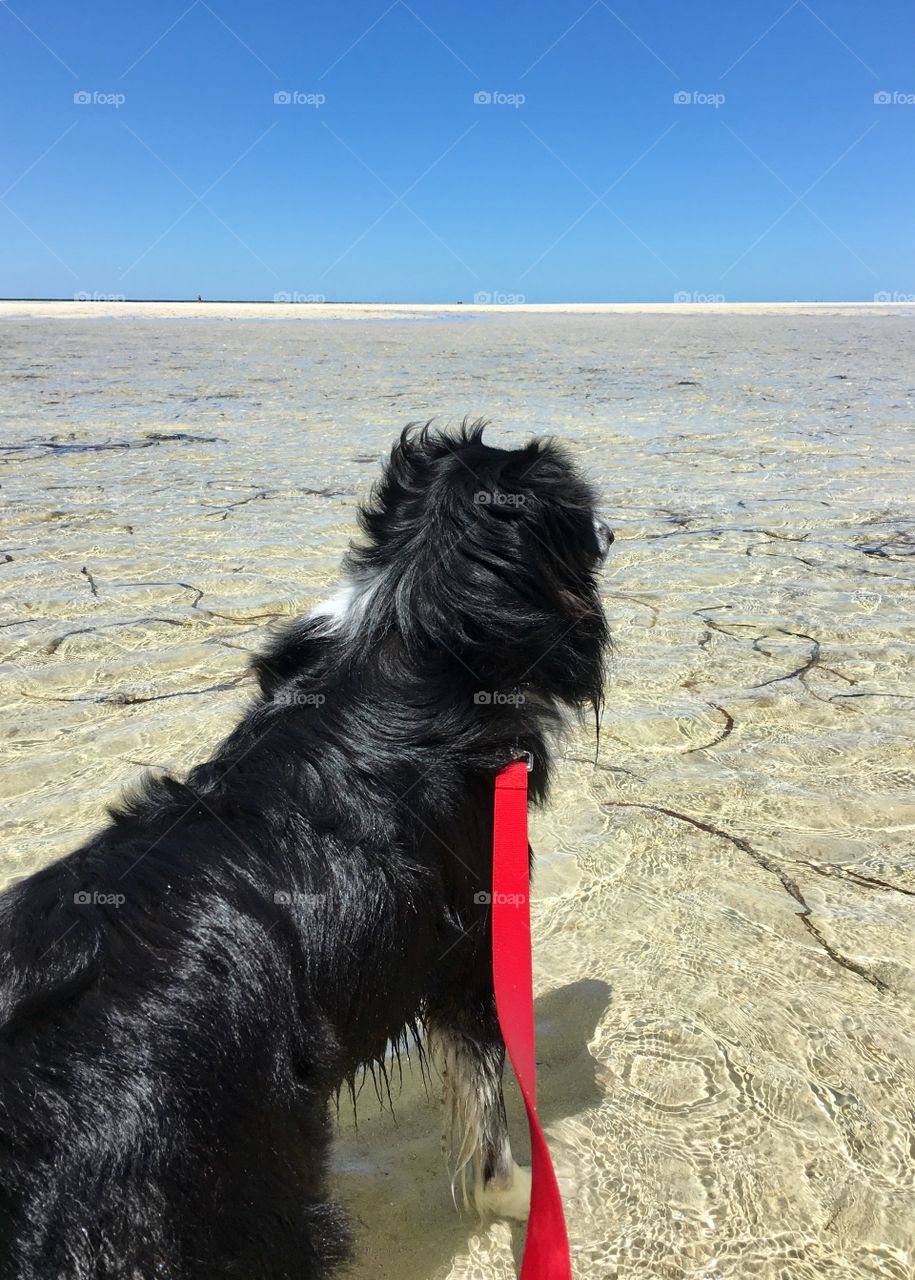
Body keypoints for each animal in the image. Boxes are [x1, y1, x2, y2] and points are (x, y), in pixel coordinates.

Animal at [1, 424, 616, 1274]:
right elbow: (488, 1107)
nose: (615, 532)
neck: (405, 630)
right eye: (584, 514)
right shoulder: (470, 945)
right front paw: (525, 1202)